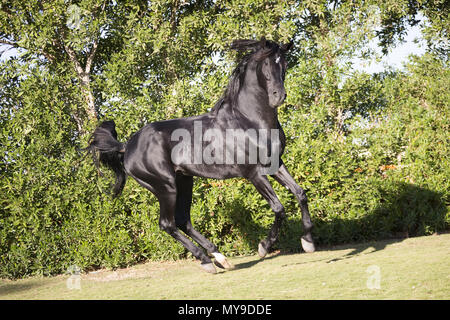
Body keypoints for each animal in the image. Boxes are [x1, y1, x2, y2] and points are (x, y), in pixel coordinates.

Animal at [86, 37, 314, 272]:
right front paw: (264, 247)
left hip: (184, 181)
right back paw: (206, 260)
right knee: (167, 224)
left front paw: (307, 241)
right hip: (165, 187)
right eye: (266, 64)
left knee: (182, 220)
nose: (279, 96)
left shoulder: (276, 164)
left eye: (284, 64)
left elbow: (300, 194)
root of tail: (127, 146)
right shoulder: (253, 174)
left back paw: (220, 258)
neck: (248, 120)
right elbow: (278, 208)